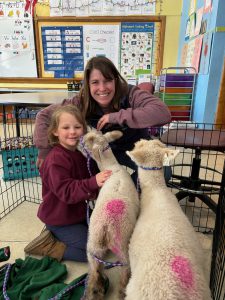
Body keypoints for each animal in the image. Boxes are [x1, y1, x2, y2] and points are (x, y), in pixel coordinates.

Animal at [80, 129, 140, 300]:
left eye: (87, 140)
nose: (79, 140)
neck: (112, 167)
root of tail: (105, 227)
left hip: (92, 247)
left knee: (95, 274)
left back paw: (96, 292)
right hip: (121, 246)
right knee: (124, 273)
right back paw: (121, 292)